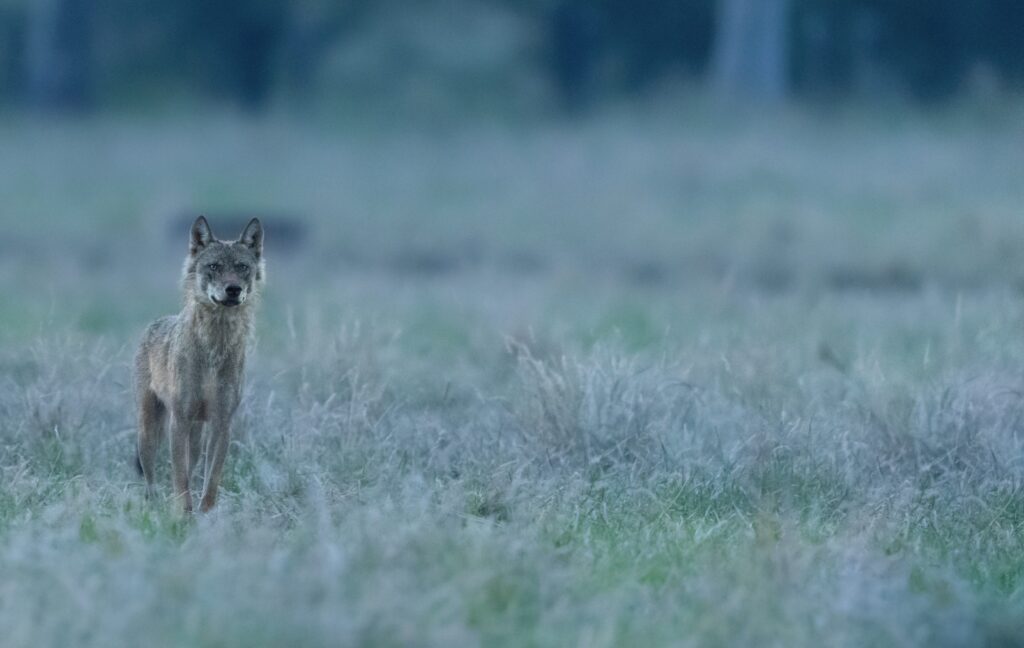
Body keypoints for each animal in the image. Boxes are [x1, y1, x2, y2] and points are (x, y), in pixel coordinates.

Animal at [134, 216, 265, 513]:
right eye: (214, 266)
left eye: (242, 267)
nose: (233, 290)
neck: (214, 348)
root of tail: (155, 322)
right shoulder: (179, 420)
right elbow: (179, 477)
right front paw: (183, 514)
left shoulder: (222, 422)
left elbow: (211, 478)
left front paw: (206, 514)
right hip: (149, 429)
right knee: (150, 476)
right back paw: (153, 504)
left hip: (196, 432)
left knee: (192, 467)